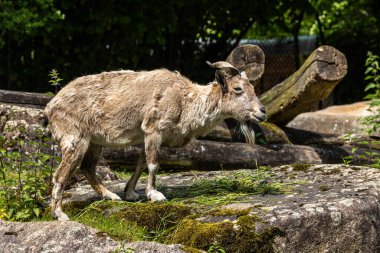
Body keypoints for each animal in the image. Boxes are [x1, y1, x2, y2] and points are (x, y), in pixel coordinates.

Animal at [43, 60, 264, 219]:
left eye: (252, 88)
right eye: (237, 89)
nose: (262, 112)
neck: (184, 100)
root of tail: (50, 108)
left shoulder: (148, 137)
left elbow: (141, 161)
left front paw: (131, 193)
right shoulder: (154, 129)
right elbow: (153, 163)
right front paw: (155, 195)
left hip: (95, 142)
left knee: (87, 167)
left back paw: (111, 196)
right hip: (75, 138)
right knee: (60, 174)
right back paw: (59, 214)